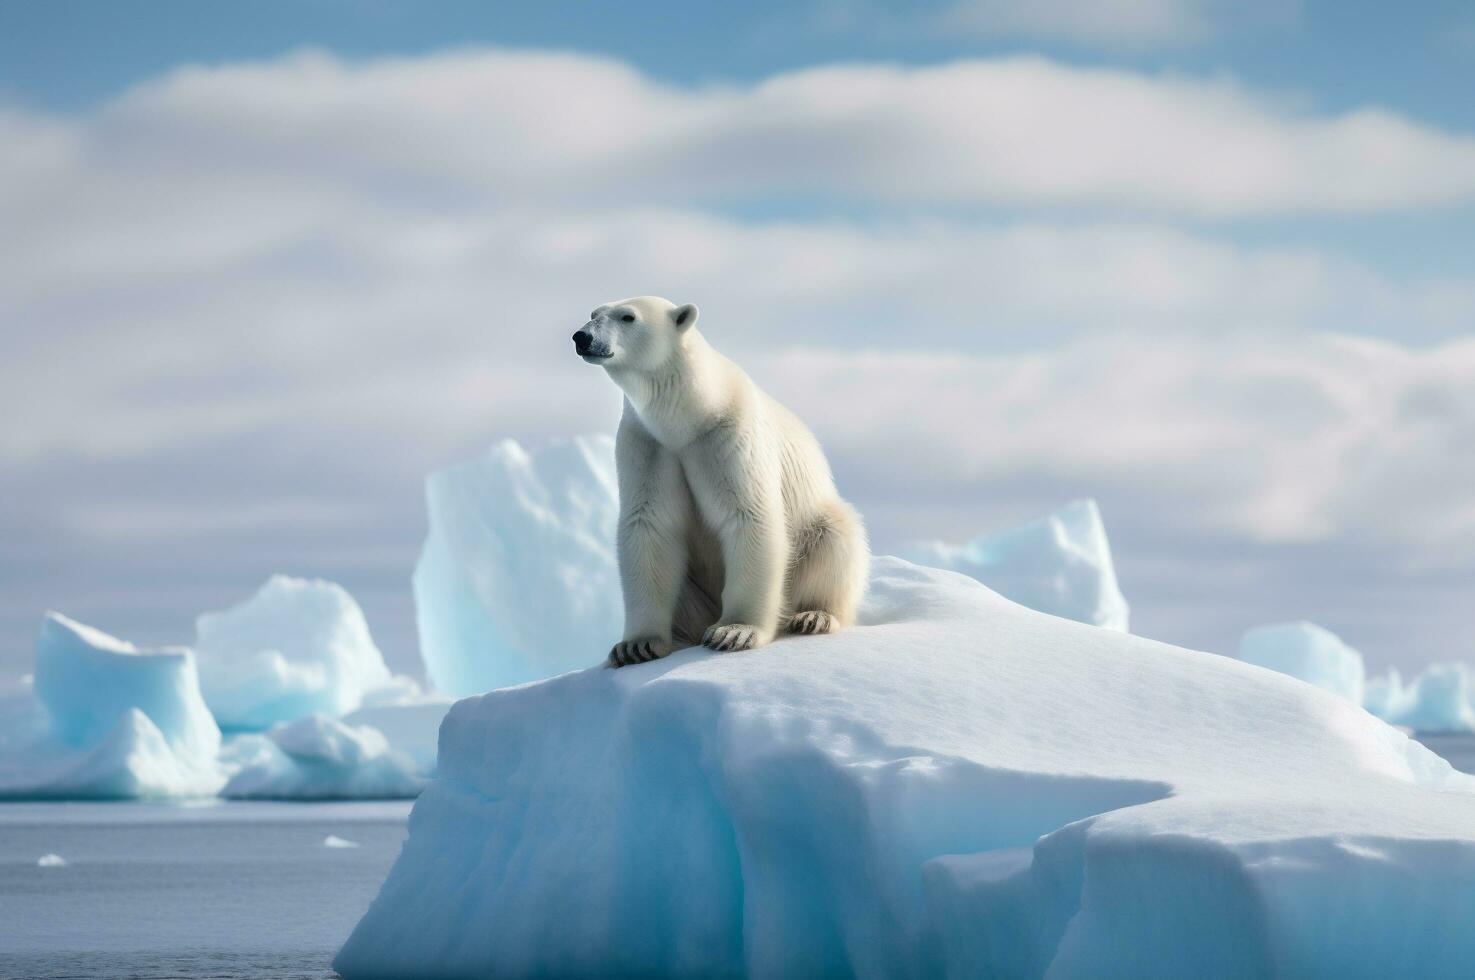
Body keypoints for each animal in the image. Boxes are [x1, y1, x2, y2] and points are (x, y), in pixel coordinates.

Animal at [572, 296, 867, 667]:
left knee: (835, 538)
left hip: (817, 530)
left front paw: (734, 631)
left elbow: (748, 514)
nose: (582, 337)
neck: (690, 416)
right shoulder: (648, 445)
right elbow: (649, 525)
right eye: (593, 313)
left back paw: (815, 616)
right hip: (695, 596)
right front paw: (636, 645)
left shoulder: (728, 436)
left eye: (628, 317)